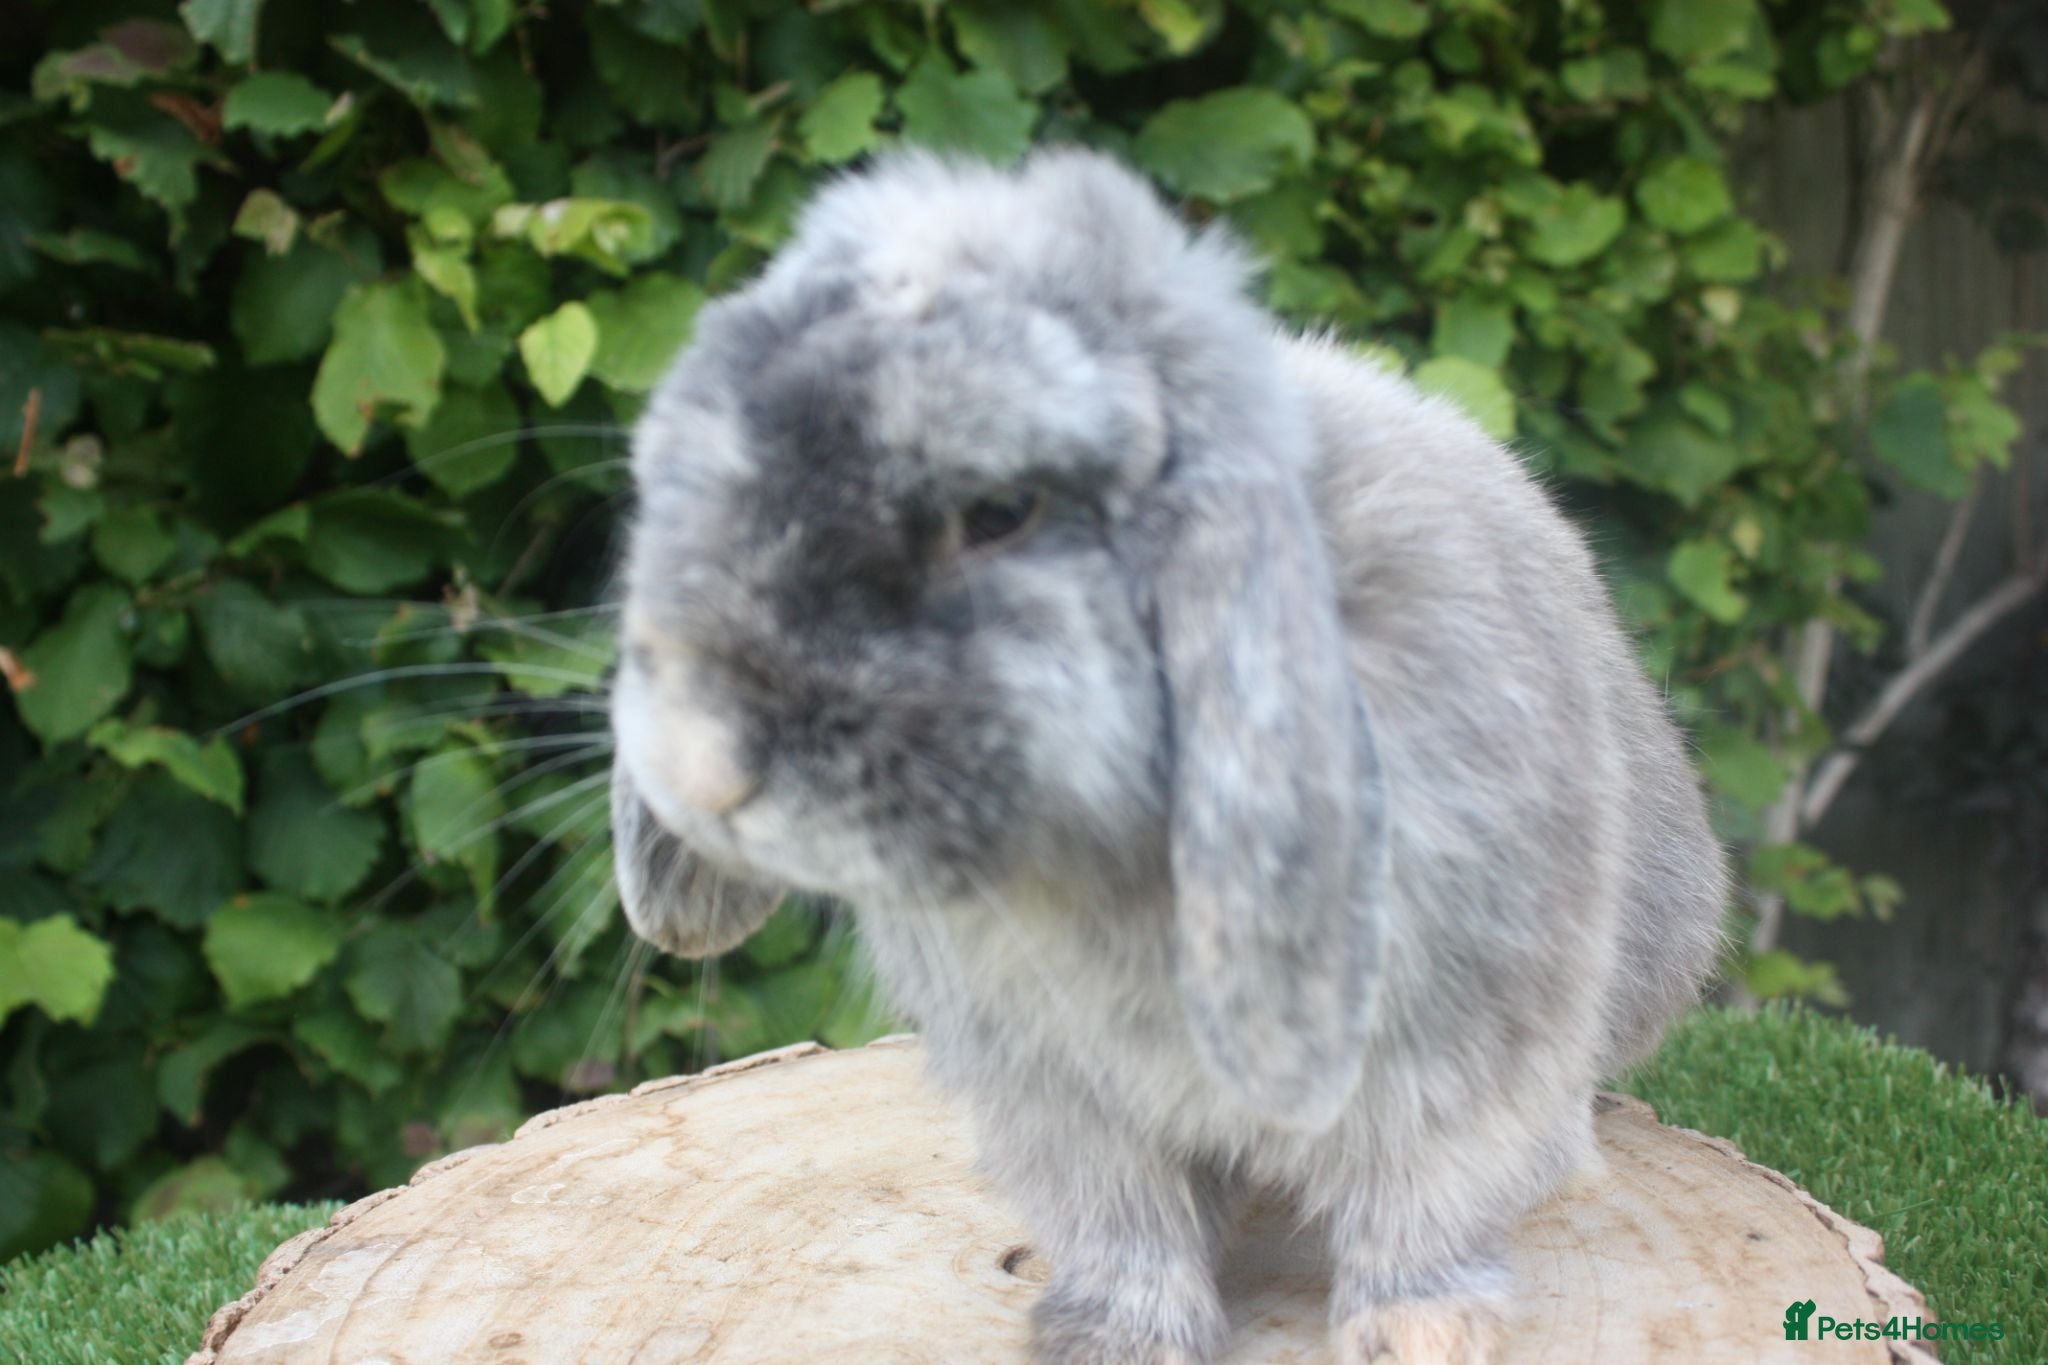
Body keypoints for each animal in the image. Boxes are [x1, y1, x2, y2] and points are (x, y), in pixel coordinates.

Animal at [608, 147, 1728, 1365]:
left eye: (998, 510)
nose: (703, 770)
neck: (1095, 863)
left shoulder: (1467, 1045)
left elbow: (1423, 1209)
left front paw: (1420, 1335)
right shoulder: (1063, 1101)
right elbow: (1125, 1225)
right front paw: (1112, 1340)